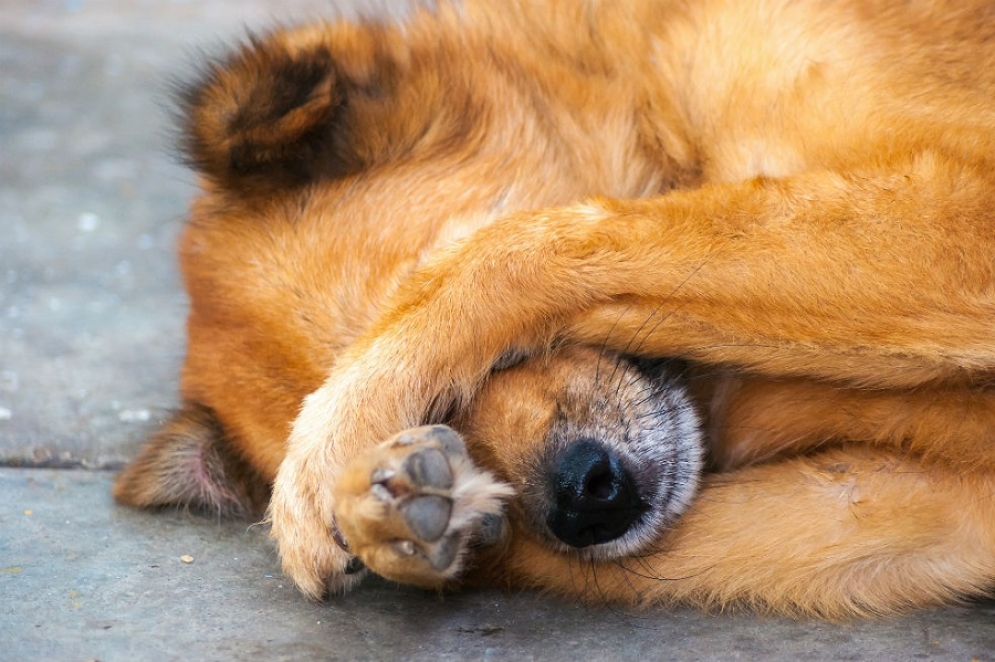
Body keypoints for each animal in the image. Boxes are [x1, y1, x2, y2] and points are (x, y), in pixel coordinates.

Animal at [116, 1, 995, 624]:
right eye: (443, 420)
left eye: (485, 360)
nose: (584, 498)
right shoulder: (935, 507)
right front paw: (402, 517)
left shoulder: (961, 214)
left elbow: (526, 246)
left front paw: (334, 437)